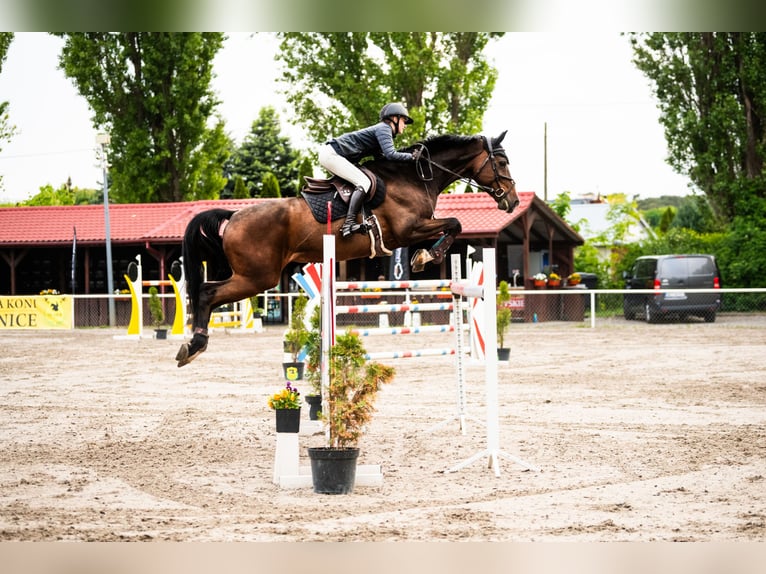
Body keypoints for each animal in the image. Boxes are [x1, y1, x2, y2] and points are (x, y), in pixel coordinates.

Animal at [175, 131, 519, 367]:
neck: (414, 177)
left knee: (207, 292)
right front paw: (426, 257)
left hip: (253, 276)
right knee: (206, 292)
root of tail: (233, 216)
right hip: (258, 277)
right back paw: (194, 346)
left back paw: (192, 346)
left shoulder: (413, 231)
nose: (512, 201)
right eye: (501, 162)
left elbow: (451, 226)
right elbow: (455, 224)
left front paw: (425, 257)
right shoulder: (408, 230)